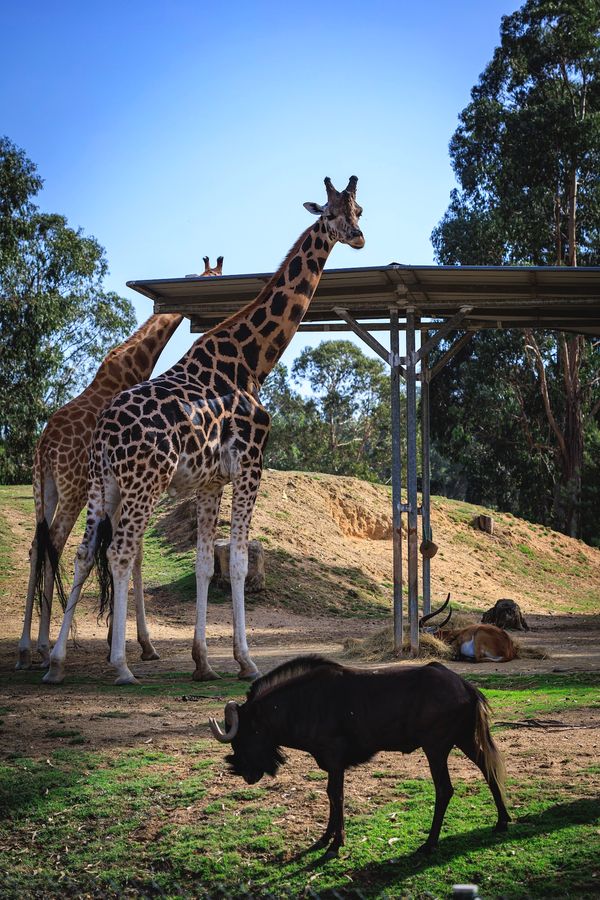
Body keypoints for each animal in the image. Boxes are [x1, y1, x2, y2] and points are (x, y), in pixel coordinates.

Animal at [18, 253, 225, 668]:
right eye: (215, 276)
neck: (133, 364)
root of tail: (45, 447)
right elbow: (135, 552)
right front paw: (140, 644)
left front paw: (121, 640)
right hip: (74, 490)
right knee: (56, 544)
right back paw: (45, 648)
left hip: (42, 488)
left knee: (37, 547)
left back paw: (24, 649)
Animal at [44, 179, 364, 684]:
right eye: (330, 214)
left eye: (358, 209)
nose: (358, 237)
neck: (252, 361)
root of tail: (104, 435)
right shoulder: (251, 465)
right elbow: (237, 561)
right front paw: (245, 660)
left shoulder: (211, 480)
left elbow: (202, 563)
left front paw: (203, 661)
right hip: (144, 483)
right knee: (119, 552)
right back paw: (120, 665)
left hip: (102, 485)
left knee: (82, 552)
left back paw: (56, 662)